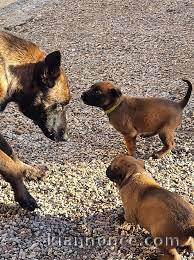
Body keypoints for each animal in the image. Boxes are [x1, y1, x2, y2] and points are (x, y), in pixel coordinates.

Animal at [0, 31, 71, 210]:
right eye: (59, 105)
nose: (66, 138)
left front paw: (28, 170)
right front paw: (24, 196)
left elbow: (10, 152)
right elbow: (10, 166)